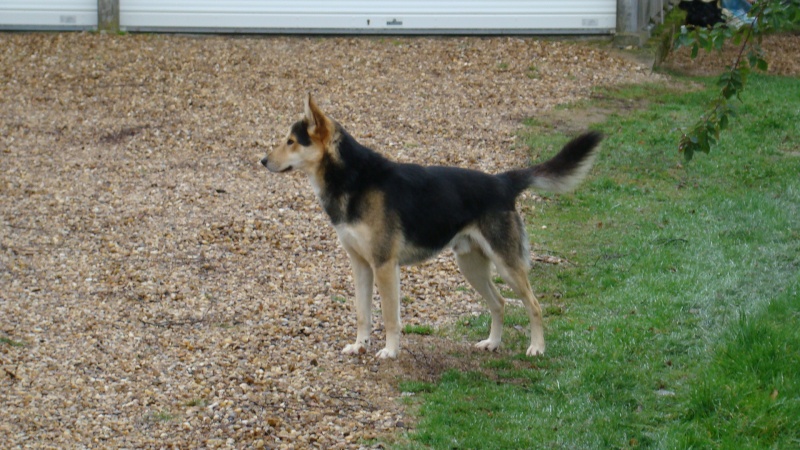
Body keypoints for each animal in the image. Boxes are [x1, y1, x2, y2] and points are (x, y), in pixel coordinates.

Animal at [260, 95, 600, 358]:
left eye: (291, 142)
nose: (262, 161)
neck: (353, 179)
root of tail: (503, 182)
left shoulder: (384, 266)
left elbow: (390, 316)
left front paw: (390, 351)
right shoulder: (360, 266)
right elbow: (362, 314)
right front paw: (360, 345)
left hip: (507, 267)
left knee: (534, 305)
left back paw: (537, 348)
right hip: (471, 267)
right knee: (500, 303)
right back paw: (493, 343)